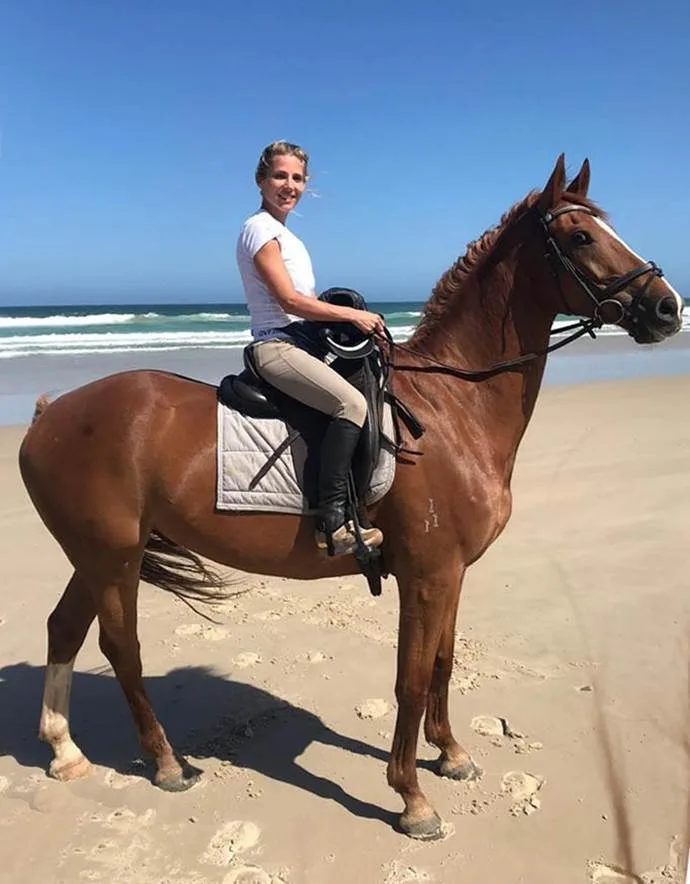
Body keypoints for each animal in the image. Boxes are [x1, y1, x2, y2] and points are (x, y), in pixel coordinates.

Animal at [18, 155, 680, 840]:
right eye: (581, 237)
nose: (667, 307)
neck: (452, 409)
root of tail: (49, 415)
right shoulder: (427, 573)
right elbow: (410, 679)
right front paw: (412, 797)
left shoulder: (451, 573)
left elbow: (442, 663)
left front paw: (451, 754)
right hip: (113, 558)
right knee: (120, 647)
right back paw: (167, 762)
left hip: (93, 556)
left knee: (64, 627)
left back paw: (65, 750)